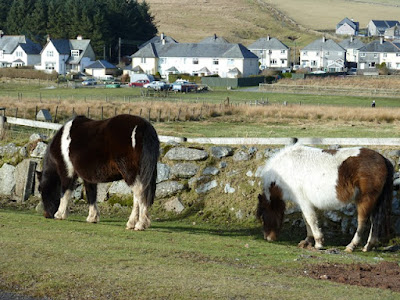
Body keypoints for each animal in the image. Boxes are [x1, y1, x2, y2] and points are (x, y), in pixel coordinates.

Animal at [256, 144, 394, 252]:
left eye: (263, 215)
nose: (268, 237)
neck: (286, 168)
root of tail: (383, 159)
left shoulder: (303, 201)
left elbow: (310, 219)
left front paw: (318, 242)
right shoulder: (304, 203)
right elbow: (306, 220)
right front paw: (307, 241)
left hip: (365, 200)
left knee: (362, 222)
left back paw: (351, 246)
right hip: (376, 202)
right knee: (376, 220)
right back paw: (368, 246)